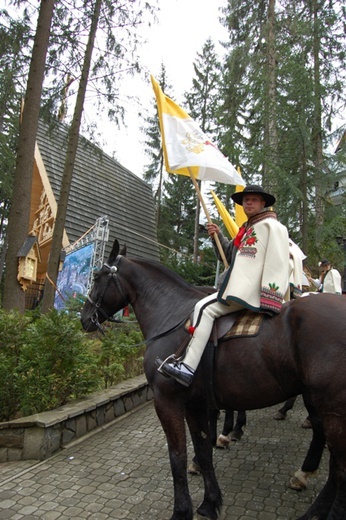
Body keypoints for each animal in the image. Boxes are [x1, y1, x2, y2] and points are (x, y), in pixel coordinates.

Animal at [79, 241, 346, 520]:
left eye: (96, 277)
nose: (84, 318)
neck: (172, 314)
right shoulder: (195, 405)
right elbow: (203, 451)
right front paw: (210, 502)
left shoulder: (167, 401)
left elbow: (177, 456)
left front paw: (181, 511)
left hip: (333, 411)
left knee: (340, 470)